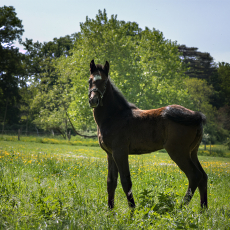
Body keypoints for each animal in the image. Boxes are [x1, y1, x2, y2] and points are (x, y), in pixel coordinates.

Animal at [87, 60, 208, 209]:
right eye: (90, 81)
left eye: (104, 81)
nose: (93, 100)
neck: (115, 115)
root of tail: (196, 116)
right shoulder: (110, 154)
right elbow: (111, 182)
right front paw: (110, 210)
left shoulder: (120, 152)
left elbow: (126, 181)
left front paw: (132, 210)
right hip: (192, 152)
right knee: (203, 176)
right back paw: (203, 210)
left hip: (178, 152)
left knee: (194, 175)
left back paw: (180, 208)